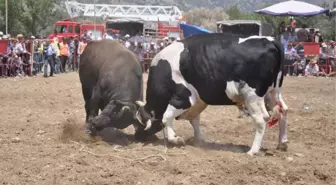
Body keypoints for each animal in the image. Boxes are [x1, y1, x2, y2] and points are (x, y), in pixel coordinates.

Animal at [136, 33, 288, 156]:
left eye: (140, 123)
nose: (137, 137)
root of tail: (270, 40)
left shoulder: (184, 98)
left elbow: (166, 117)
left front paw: (175, 139)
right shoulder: (197, 102)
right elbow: (194, 121)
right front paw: (198, 140)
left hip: (252, 96)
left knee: (261, 119)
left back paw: (253, 150)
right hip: (273, 92)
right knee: (283, 111)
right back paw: (282, 143)